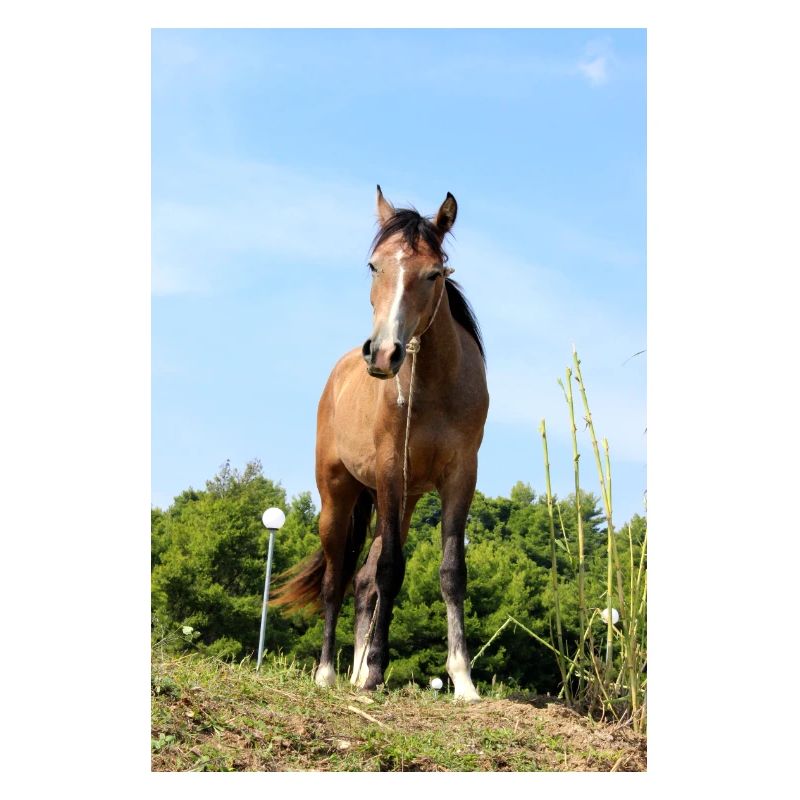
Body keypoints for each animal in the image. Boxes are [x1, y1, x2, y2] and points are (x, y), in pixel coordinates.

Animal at [272, 186, 488, 702]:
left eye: (434, 273)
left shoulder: (460, 477)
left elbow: (451, 572)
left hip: (403, 501)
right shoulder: (391, 472)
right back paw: (330, 673)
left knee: (362, 581)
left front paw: (463, 679)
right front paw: (374, 673)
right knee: (337, 581)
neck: (433, 386)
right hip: (339, 497)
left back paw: (353, 669)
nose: (384, 353)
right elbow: (391, 570)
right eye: (374, 266)